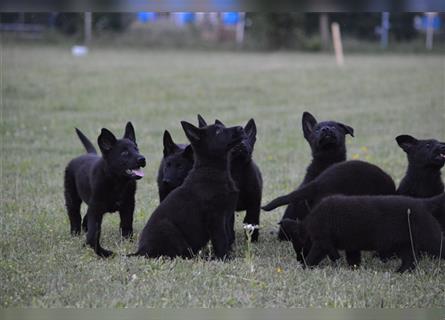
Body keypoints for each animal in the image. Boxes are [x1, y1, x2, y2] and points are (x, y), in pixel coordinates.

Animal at [63, 122, 146, 258]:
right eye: (124, 153)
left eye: (136, 149)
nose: (142, 159)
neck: (116, 181)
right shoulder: (96, 208)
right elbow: (94, 230)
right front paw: (94, 247)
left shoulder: (128, 205)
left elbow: (126, 224)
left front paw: (127, 241)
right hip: (72, 196)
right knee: (74, 215)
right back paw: (75, 234)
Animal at [132, 121, 245, 258]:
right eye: (218, 131)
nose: (241, 128)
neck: (211, 170)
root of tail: (140, 251)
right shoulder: (216, 218)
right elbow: (221, 240)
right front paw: (224, 258)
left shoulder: (227, 216)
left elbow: (228, 238)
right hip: (168, 228)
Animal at [280, 192, 444, 272]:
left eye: (298, 247)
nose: (298, 259)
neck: (308, 225)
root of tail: (423, 203)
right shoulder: (351, 246)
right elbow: (352, 259)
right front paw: (353, 270)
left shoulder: (321, 243)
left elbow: (316, 256)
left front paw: (304, 266)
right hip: (404, 244)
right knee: (410, 261)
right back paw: (400, 272)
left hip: (429, 237)